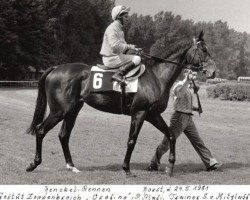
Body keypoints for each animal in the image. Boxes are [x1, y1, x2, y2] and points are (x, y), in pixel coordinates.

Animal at [26, 31, 216, 177]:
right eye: (203, 49)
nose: (213, 72)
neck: (156, 77)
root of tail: (56, 68)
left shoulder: (152, 115)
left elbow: (170, 135)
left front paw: (170, 166)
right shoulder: (139, 113)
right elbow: (131, 141)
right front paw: (126, 169)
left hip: (72, 111)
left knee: (64, 136)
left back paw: (72, 166)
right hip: (59, 111)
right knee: (41, 130)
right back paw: (34, 164)